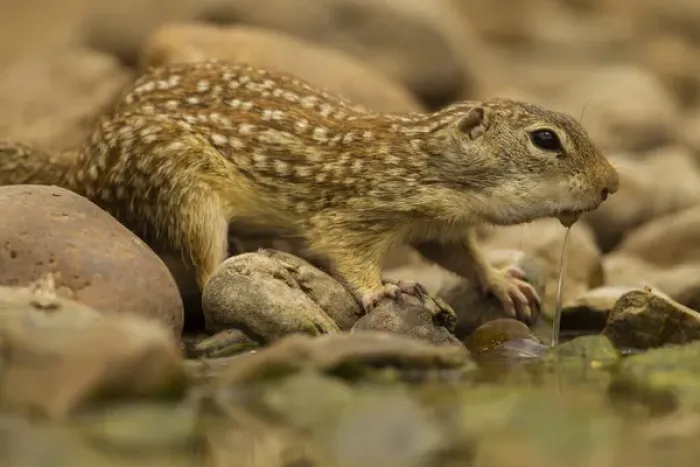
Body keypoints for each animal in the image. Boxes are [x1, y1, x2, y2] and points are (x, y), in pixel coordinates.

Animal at [0, 59, 619, 321]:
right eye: (545, 139)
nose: (612, 184)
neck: (431, 161)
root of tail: (79, 162)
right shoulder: (358, 212)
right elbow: (347, 251)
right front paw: (380, 291)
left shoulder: (440, 227)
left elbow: (461, 255)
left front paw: (501, 282)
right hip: (182, 185)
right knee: (209, 271)